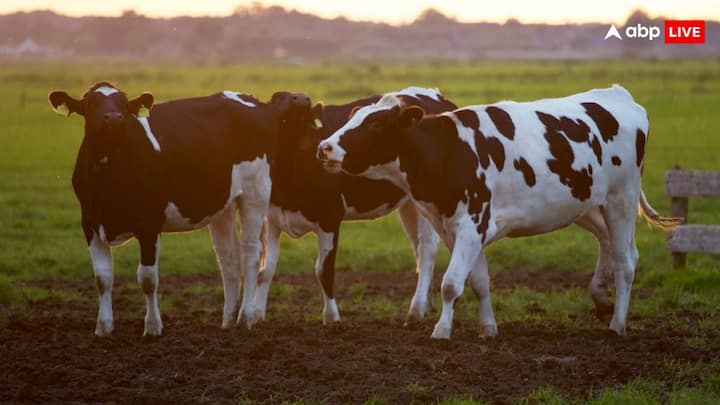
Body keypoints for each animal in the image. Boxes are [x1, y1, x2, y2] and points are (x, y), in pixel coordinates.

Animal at [47, 81, 312, 334]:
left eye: (123, 104)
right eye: (91, 104)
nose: (113, 117)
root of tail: (256, 102)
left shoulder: (149, 223)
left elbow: (147, 278)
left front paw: (153, 327)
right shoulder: (90, 223)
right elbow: (102, 277)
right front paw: (103, 327)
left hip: (255, 192)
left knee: (251, 254)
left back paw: (245, 318)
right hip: (223, 204)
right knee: (228, 257)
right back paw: (227, 320)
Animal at [252, 87, 456, 324]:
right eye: (277, 98)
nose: (302, 99)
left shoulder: (330, 218)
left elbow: (324, 270)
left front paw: (331, 318)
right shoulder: (272, 218)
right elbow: (265, 270)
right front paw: (256, 315)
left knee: (426, 251)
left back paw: (416, 309)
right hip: (410, 204)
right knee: (417, 248)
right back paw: (427, 304)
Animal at [318, 84, 684, 338]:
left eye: (376, 124)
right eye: (353, 117)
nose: (324, 147)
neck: (449, 150)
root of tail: (619, 95)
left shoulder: (472, 224)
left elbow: (451, 283)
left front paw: (442, 330)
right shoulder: (458, 228)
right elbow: (478, 281)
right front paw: (488, 328)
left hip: (621, 199)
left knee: (626, 262)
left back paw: (617, 323)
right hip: (586, 205)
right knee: (608, 243)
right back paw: (601, 299)